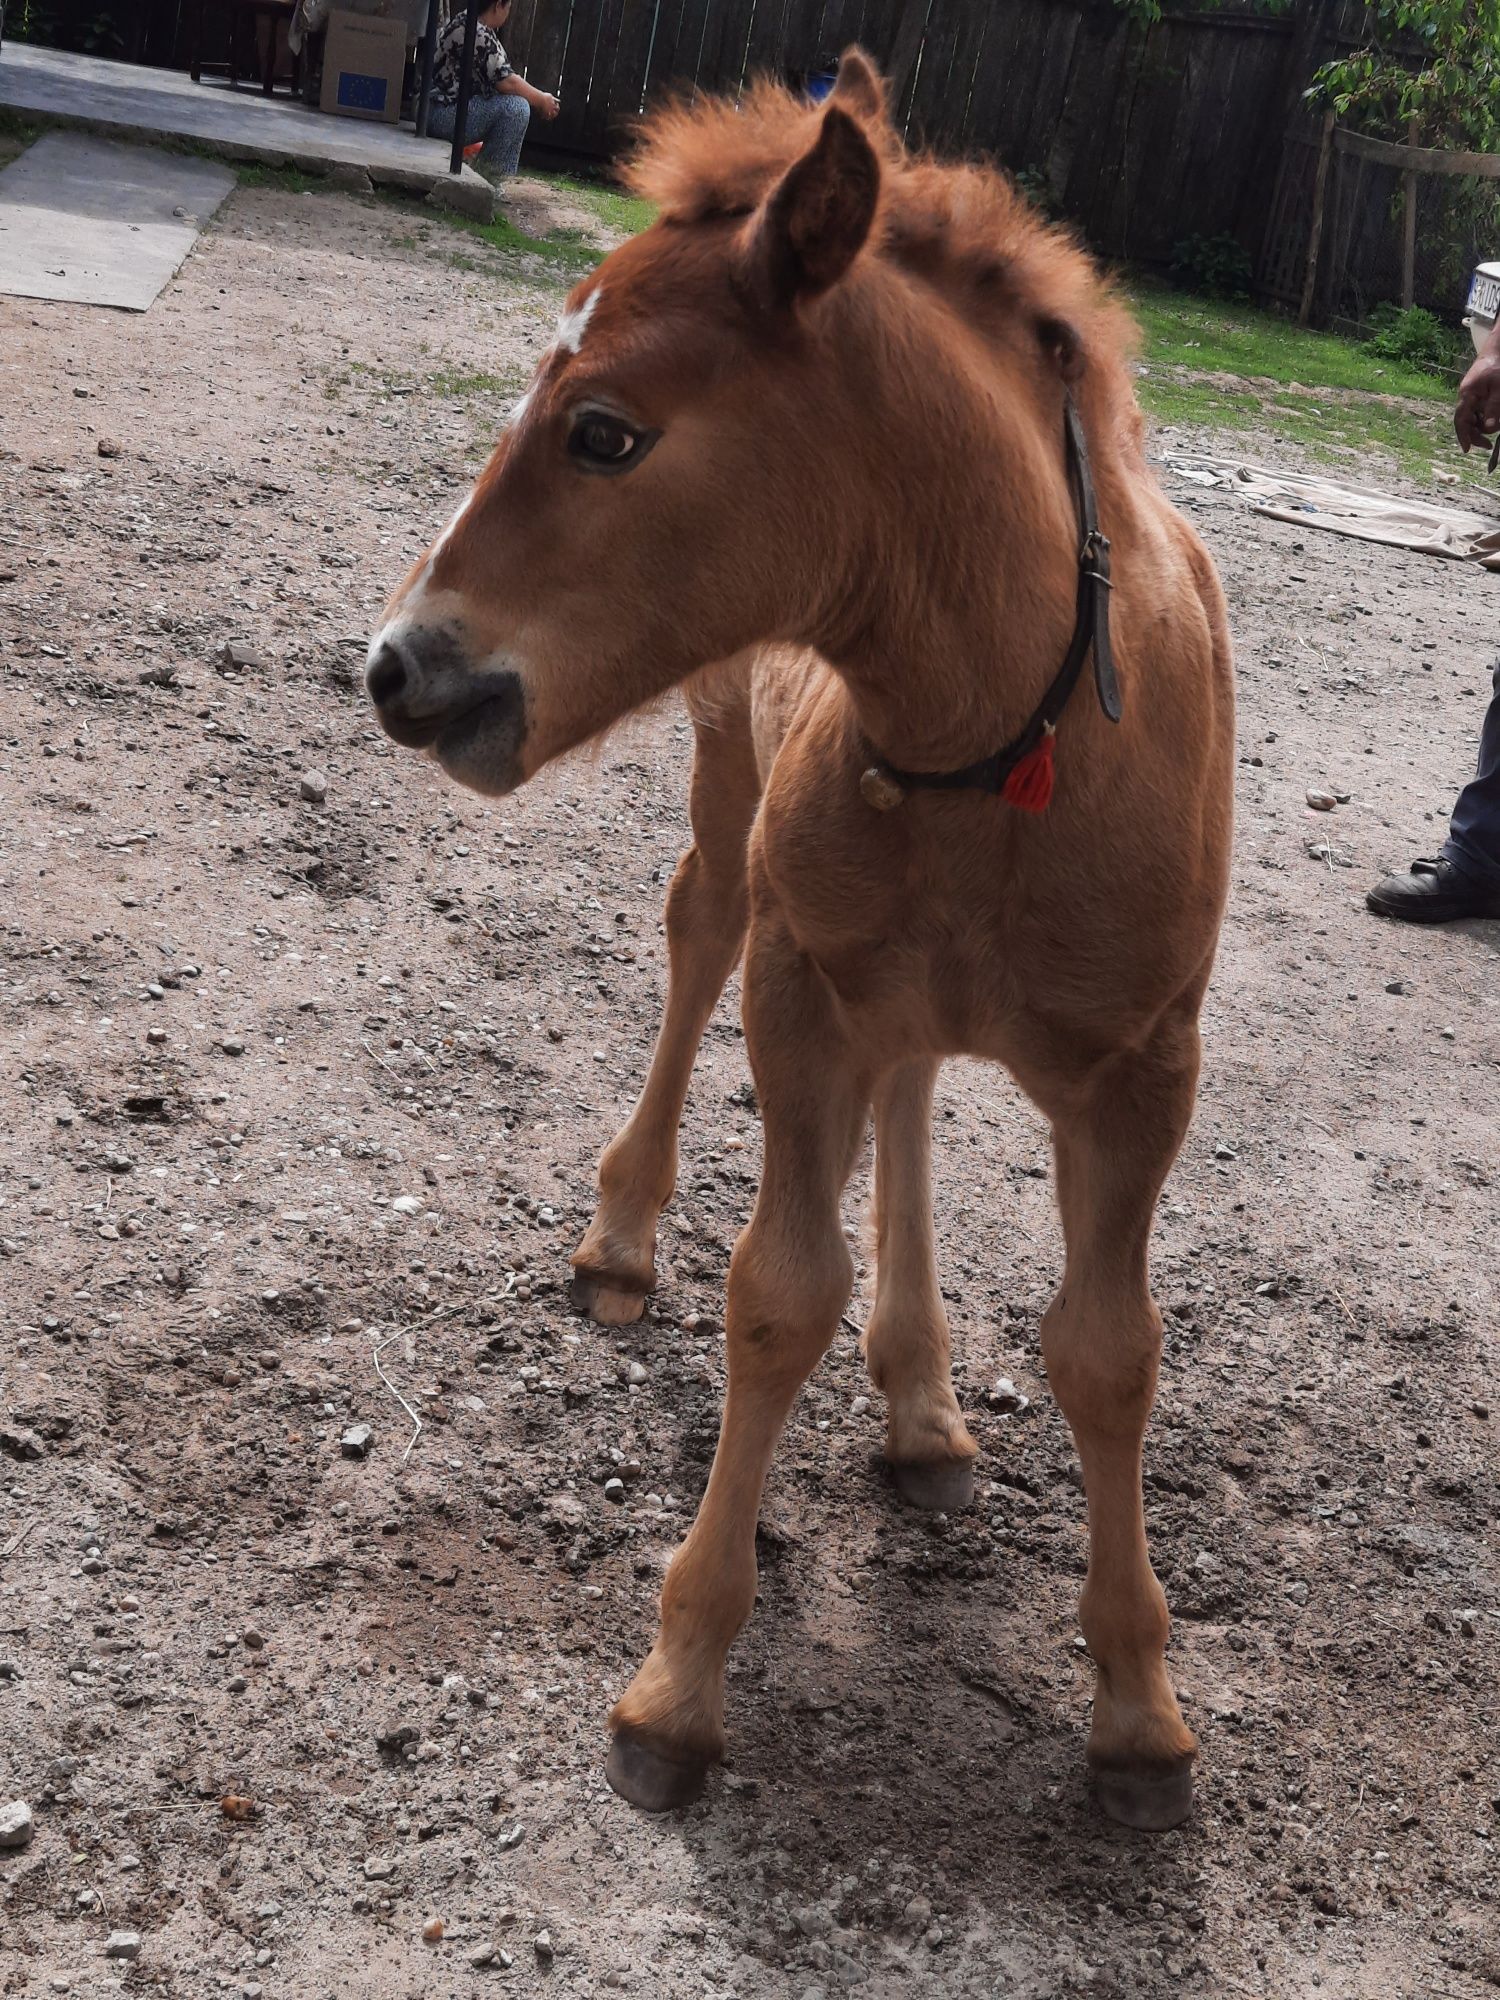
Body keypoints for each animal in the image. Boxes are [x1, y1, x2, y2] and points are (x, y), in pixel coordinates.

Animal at [364, 50, 1232, 1832]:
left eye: (605, 431)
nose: (398, 666)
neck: (1009, 743)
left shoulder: (1144, 1065)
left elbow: (1110, 1352)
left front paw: (1140, 1711)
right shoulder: (799, 989)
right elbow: (776, 1292)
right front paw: (678, 1687)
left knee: (913, 1085)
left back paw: (923, 1396)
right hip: (726, 779)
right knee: (695, 930)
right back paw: (626, 1240)